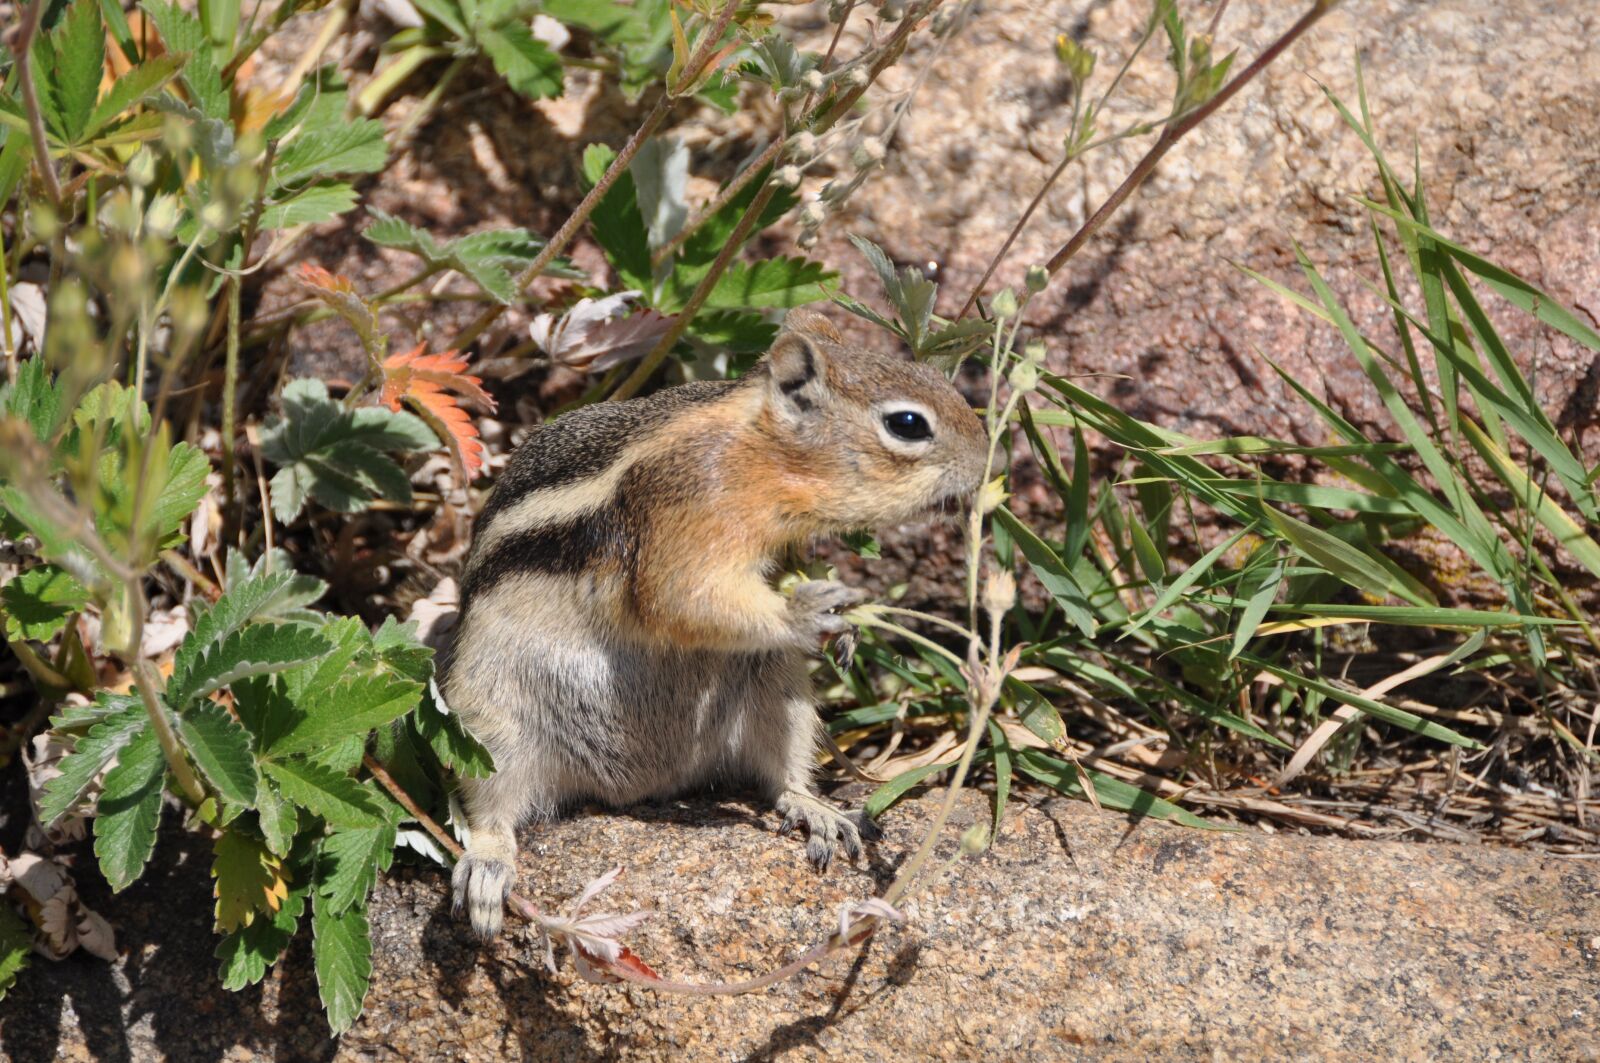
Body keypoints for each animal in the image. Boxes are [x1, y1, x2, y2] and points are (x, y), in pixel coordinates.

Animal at [442, 307, 986, 938]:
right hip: (489, 720)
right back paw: (488, 868)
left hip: (776, 690)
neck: (759, 451)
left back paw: (815, 808)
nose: (986, 457)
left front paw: (846, 623)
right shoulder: (691, 508)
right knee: (492, 809)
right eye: (907, 423)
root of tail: (639, 789)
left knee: (780, 773)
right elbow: (682, 598)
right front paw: (809, 612)